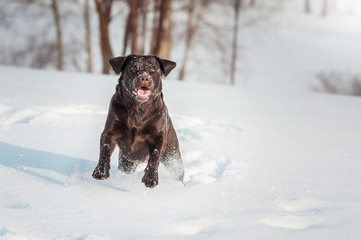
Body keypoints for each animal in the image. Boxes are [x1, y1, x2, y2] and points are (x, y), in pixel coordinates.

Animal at [91, 54, 184, 188]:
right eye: (132, 68)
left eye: (153, 70)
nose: (144, 78)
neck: (138, 110)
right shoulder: (110, 131)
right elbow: (105, 149)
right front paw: (101, 171)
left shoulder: (159, 137)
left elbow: (155, 155)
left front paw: (150, 178)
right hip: (126, 163)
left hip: (173, 156)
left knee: (178, 172)